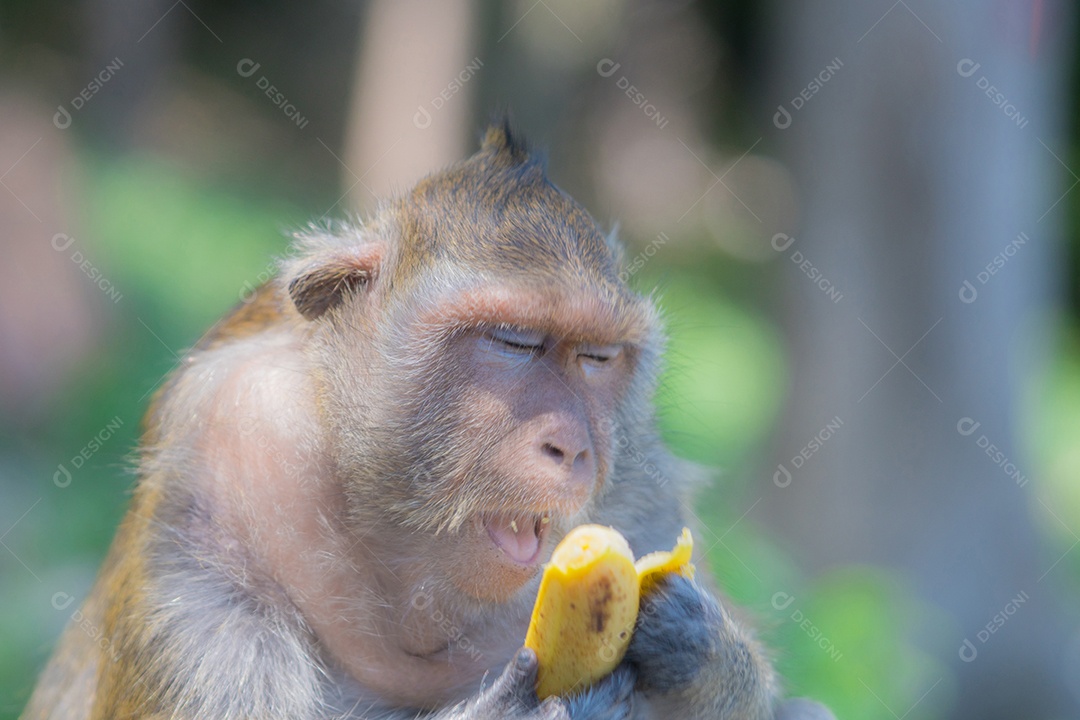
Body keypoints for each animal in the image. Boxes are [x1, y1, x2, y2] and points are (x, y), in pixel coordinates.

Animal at [23, 122, 835, 720]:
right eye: (513, 343)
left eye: (598, 358)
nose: (571, 446)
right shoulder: (219, 469)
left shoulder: (641, 483)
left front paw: (702, 650)